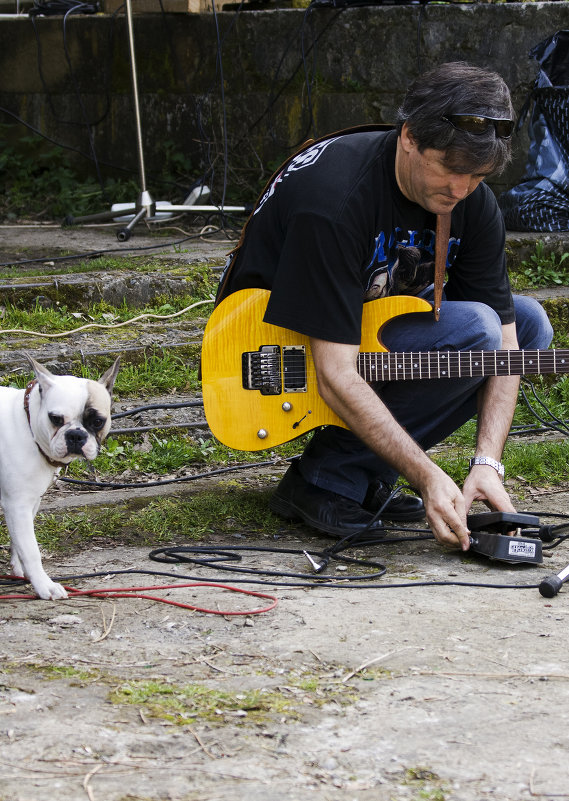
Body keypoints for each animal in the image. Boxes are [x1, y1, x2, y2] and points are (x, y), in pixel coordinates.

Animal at [2, 356, 119, 600]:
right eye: (55, 419)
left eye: (98, 421)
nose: (75, 435)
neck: (29, 425)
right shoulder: (17, 504)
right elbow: (31, 549)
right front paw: (44, 585)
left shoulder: (28, 502)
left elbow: (18, 542)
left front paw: (20, 571)